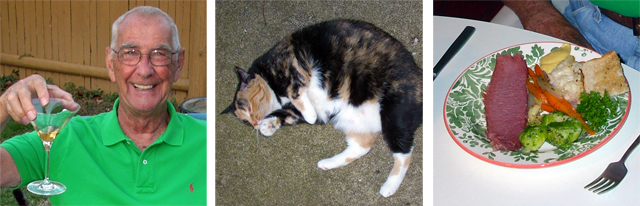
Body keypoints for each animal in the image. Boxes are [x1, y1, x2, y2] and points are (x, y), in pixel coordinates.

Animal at [222, 19, 422, 198]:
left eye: (248, 107)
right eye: (245, 121)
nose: (254, 124)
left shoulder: (292, 63)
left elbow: (296, 91)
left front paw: (306, 114)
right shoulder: (302, 110)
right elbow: (288, 113)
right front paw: (268, 126)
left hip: (394, 114)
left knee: (404, 153)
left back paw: (389, 186)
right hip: (350, 120)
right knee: (362, 147)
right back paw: (328, 163)